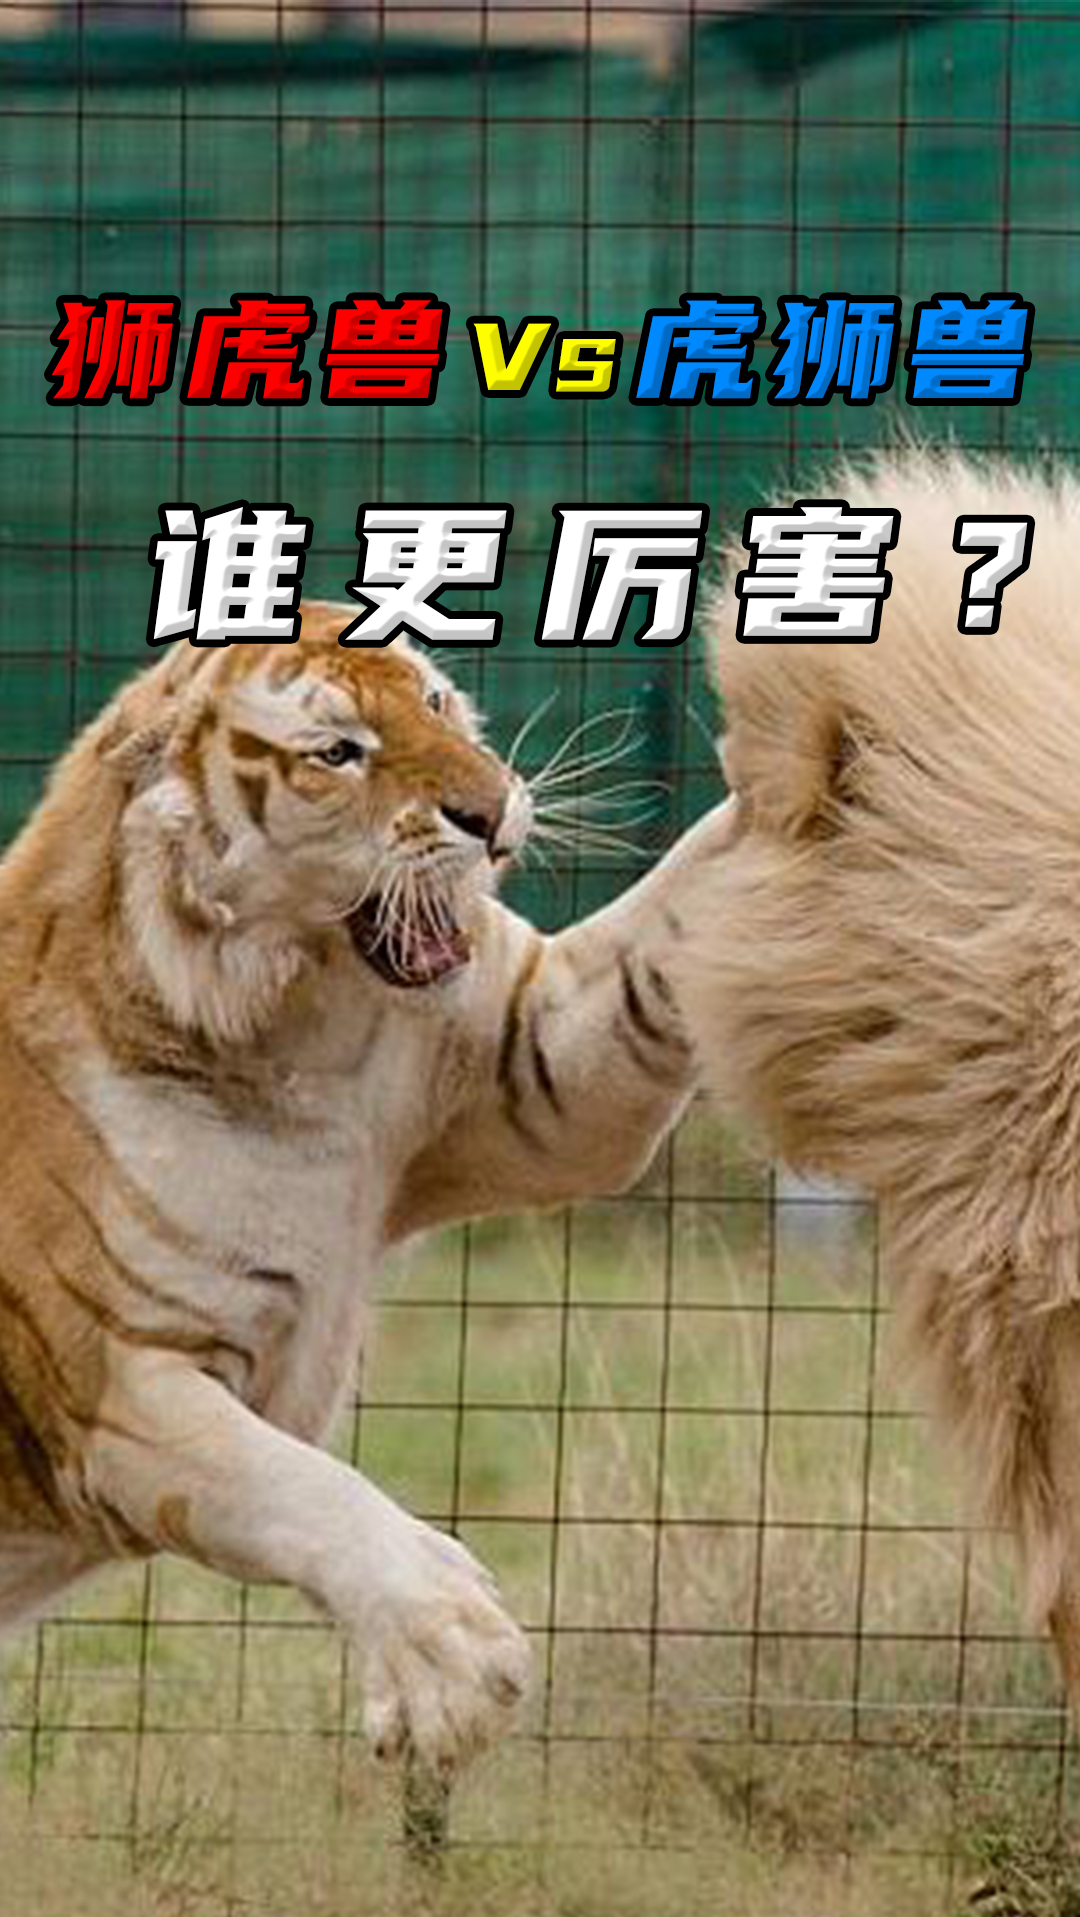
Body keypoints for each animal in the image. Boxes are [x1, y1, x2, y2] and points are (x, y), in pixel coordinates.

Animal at [0, 600, 736, 1775]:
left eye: (433, 699)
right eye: (339, 753)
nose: (491, 812)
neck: (301, 1035)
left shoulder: (538, 1068)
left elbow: (676, 903)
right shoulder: (116, 1386)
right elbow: (295, 1488)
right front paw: (452, 1664)